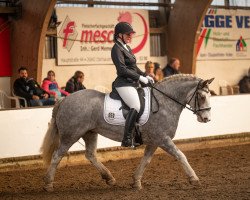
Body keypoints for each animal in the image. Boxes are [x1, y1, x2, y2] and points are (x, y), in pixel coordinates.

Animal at [40, 74, 214, 191]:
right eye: (202, 96)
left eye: (209, 95)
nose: (207, 119)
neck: (164, 103)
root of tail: (64, 99)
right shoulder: (163, 139)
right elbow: (181, 155)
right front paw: (194, 179)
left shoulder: (154, 141)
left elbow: (146, 160)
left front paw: (136, 182)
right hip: (70, 135)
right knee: (57, 156)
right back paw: (48, 184)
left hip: (90, 133)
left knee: (90, 155)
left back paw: (109, 178)